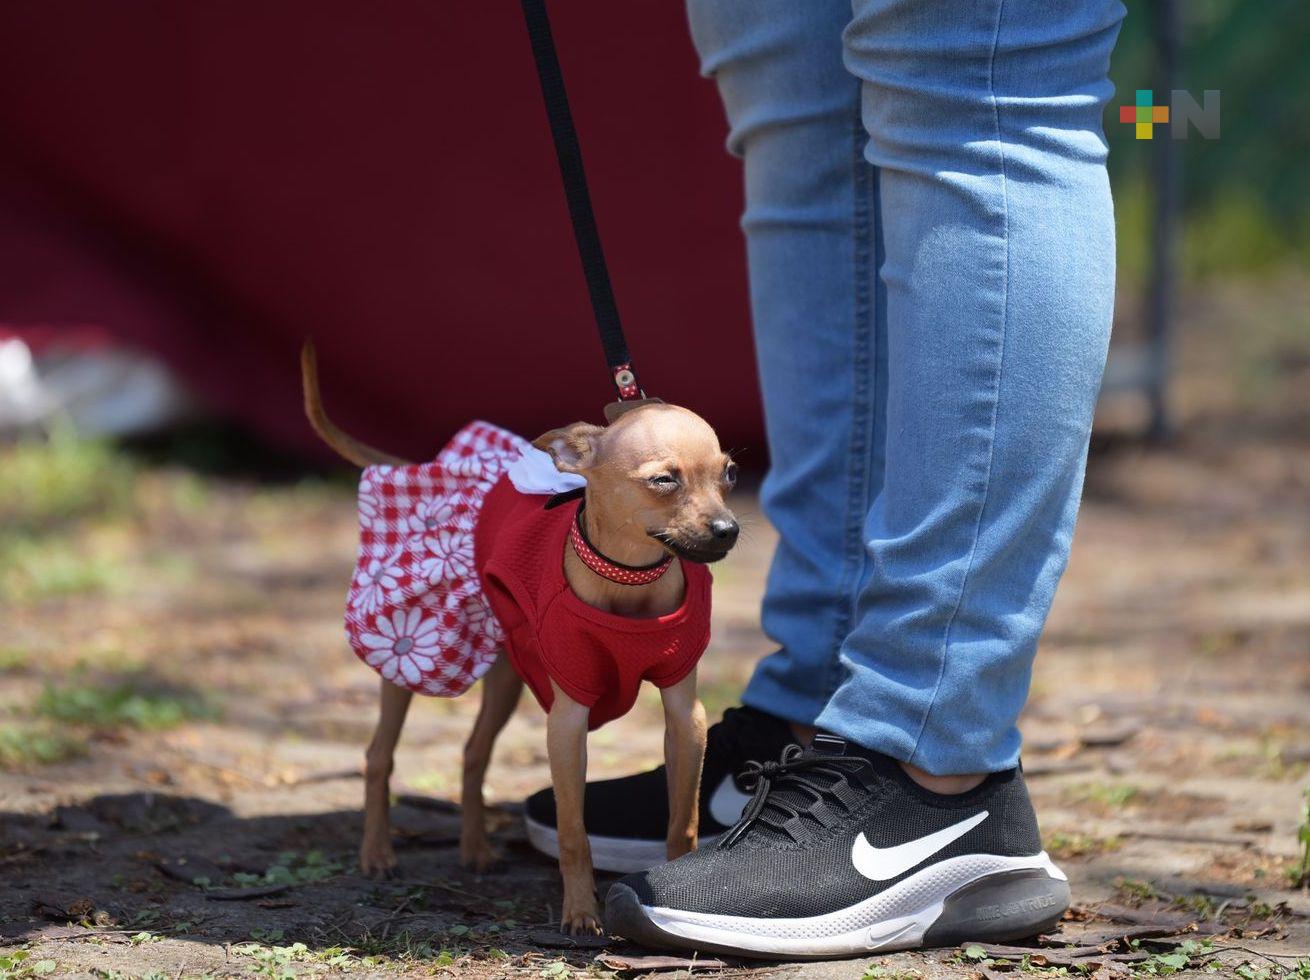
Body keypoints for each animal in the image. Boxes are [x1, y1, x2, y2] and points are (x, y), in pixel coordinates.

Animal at [301, 345, 744, 932]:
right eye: (664, 480)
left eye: (729, 474)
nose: (727, 530)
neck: (628, 580)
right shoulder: (567, 721)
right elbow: (574, 832)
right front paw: (580, 912)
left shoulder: (684, 716)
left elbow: (683, 822)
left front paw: (673, 886)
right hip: (408, 663)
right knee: (378, 755)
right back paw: (377, 853)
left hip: (507, 677)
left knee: (472, 753)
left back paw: (475, 850)